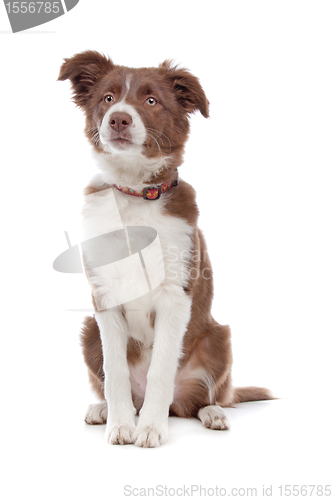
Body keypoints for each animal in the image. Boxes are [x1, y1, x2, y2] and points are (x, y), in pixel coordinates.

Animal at [58, 51, 272, 450]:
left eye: (151, 100)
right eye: (107, 98)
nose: (119, 118)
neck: (134, 194)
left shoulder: (175, 294)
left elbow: (160, 370)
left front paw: (151, 429)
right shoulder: (103, 298)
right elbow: (115, 371)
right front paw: (121, 425)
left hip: (218, 338)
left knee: (200, 400)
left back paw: (210, 414)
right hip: (88, 330)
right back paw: (105, 410)